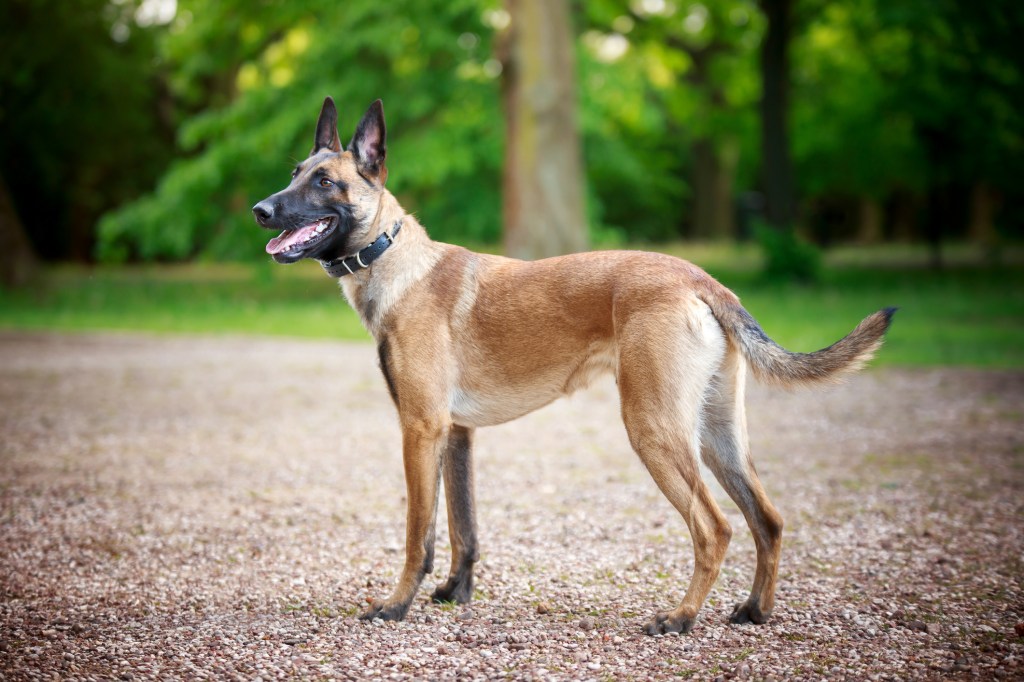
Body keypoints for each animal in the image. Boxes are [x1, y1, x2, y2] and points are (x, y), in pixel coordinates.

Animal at [251, 98, 892, 634]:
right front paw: (456, 594)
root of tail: (700, 279)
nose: (260, 210)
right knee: (768, 519)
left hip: (654, 429)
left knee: (715, 528)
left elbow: (418, 534)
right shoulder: (456, 435)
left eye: (324, 182)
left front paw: (395, 605)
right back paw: (755, 611)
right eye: (293, 173)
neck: (394, 260)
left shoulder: (421, 428)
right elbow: (463, 528)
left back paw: (680, 618)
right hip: (717, 435)